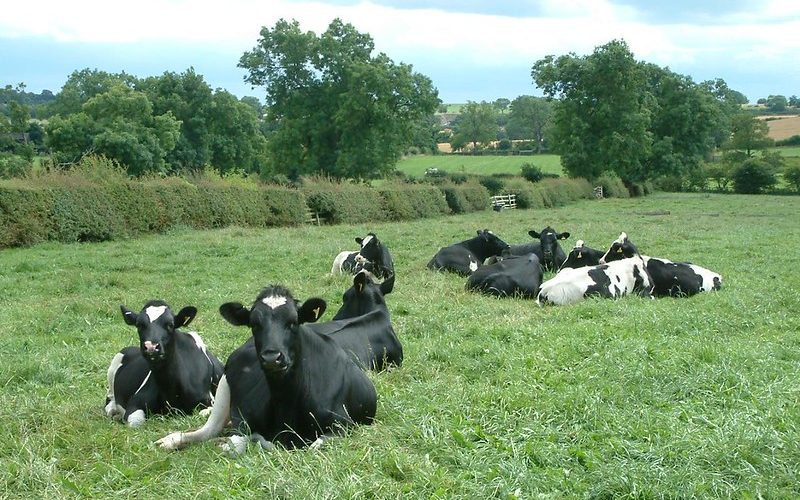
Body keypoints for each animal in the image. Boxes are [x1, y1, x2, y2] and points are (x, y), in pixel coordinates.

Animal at [104, 298, 222, 428]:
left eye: (170, 325)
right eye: (139, 325)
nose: (151, 346)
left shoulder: (208, 402)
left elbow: (204, 413)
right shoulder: (135, 403)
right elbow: (135, 422)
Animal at [160, 286, 382, 454]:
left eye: (293, 322)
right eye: (254, 324)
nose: (271, 357)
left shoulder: (342, 425)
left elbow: (315, 446)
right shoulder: (243, 421)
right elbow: (243, 442)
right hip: (224, 386)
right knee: (206, 431)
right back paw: (170, 440)